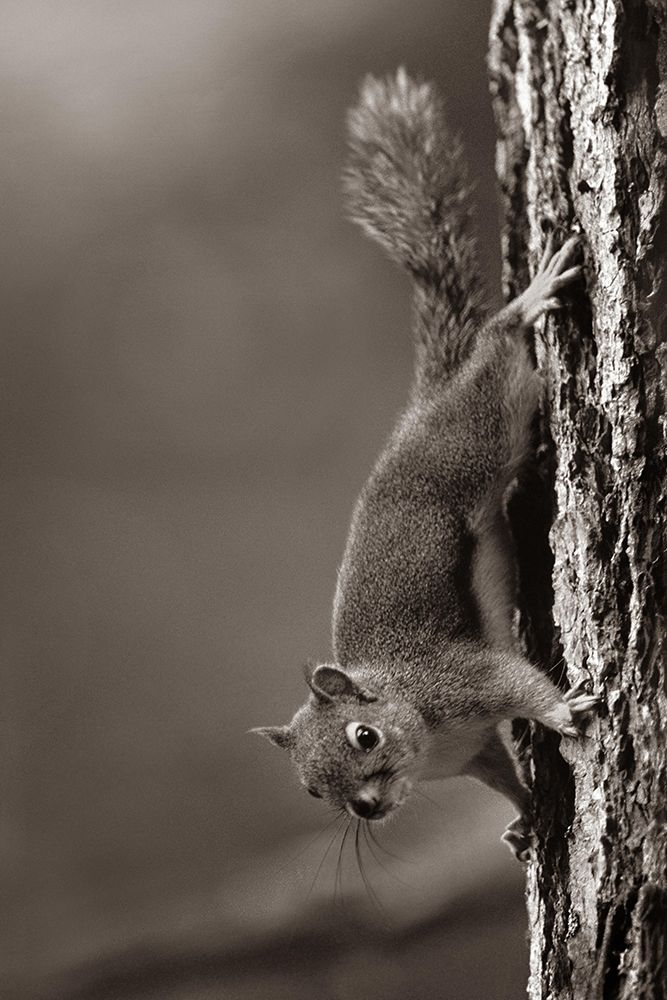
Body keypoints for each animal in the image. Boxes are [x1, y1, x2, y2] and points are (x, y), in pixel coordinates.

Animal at [253, 69, 597, 861]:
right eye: (312, 790)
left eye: (363, 735)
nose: (368, 807)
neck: (423, 727)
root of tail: (423, 407)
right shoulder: (475, 749)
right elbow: (503, 774)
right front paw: (523, 820)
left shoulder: (465, 677)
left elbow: (522, 685)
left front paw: (564, 714)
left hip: (472, 432)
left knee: (496, 352)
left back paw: (529, 300)